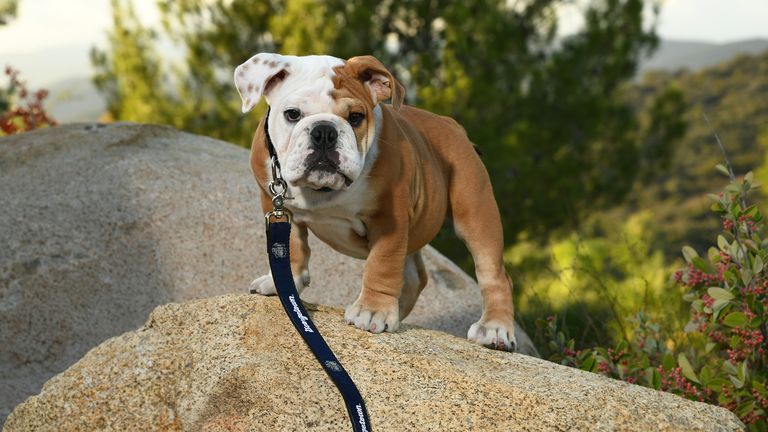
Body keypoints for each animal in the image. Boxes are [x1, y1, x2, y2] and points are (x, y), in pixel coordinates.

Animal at [237, 54, 520, 352]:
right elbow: (290, 248)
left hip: (476, 213)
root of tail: (453, 125)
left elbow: (381, 265)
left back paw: (495, 329)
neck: (322, 190)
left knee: (493, 274)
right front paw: (279, 281)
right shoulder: (278, 207)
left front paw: (372, 310)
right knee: (415, 275)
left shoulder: (389, 219)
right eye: (292, 114)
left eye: (356, 117)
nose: (324, 131)